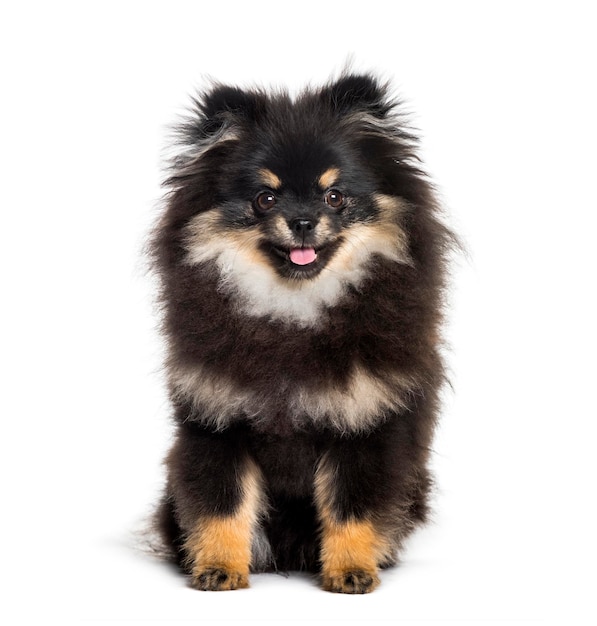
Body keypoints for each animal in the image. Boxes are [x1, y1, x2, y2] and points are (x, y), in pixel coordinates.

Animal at [150, 72, 452, 588]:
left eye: (334, 195)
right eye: (265, 198)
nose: (303, 221)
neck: (293, 309)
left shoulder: (364, 422)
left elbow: (351, 506)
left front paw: (351, 570)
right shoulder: (218, 421)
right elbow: (222, 505)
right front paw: (219, 567)